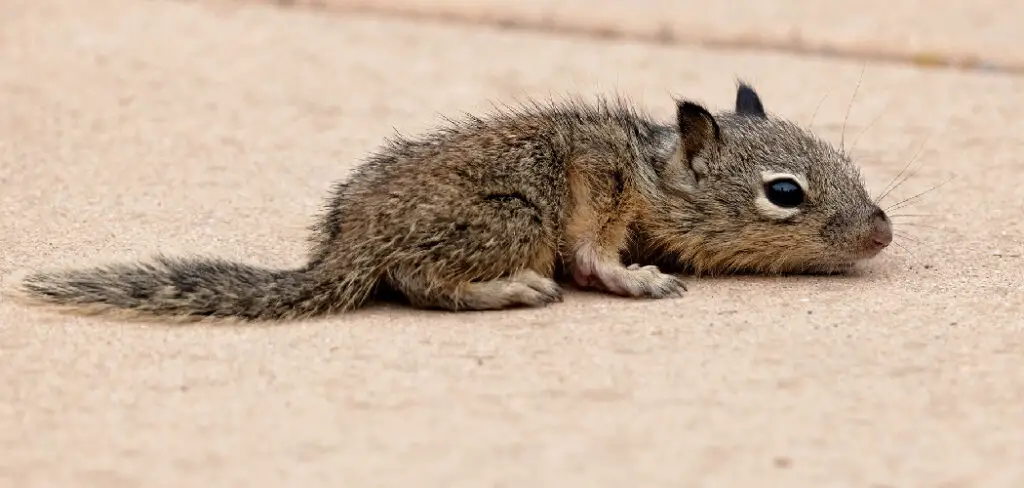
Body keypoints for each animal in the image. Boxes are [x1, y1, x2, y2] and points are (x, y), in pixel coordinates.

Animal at [6, 81, 888, 321]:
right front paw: (629, 277)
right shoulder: (596, 185)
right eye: (784, 193)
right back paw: (509, 290)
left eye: (852, 164)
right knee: (420, 283)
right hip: (510, 214)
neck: (654, 173)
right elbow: (592, 251)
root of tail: (348, 244)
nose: (880, 234)